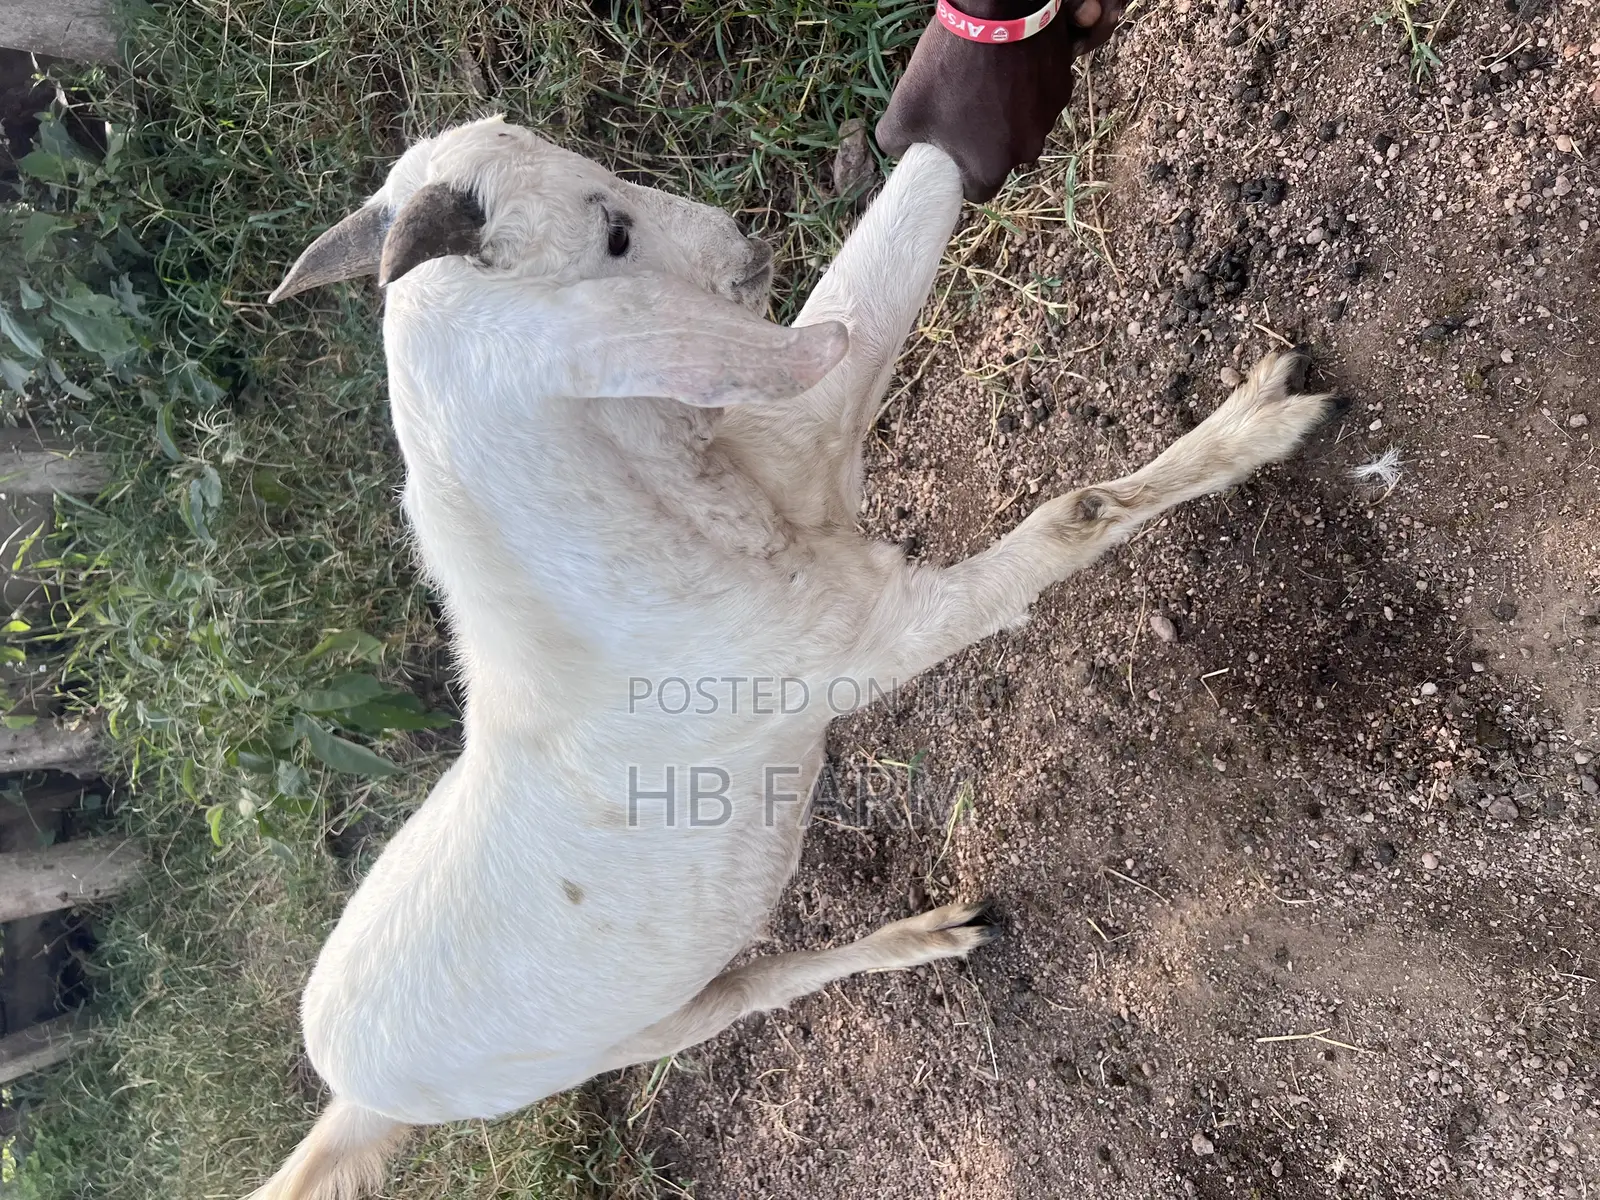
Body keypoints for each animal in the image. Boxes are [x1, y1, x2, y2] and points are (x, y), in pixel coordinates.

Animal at [251, 114, 1334, 1199]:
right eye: (610, 236)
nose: (743, 241)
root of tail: (347, 1092)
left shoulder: (805, 451)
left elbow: (875, 285)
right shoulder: (874, 635)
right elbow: (1075, 516)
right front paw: (1260, 425)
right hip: (616, 1042)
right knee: (742, 998)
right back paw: (924, 938)